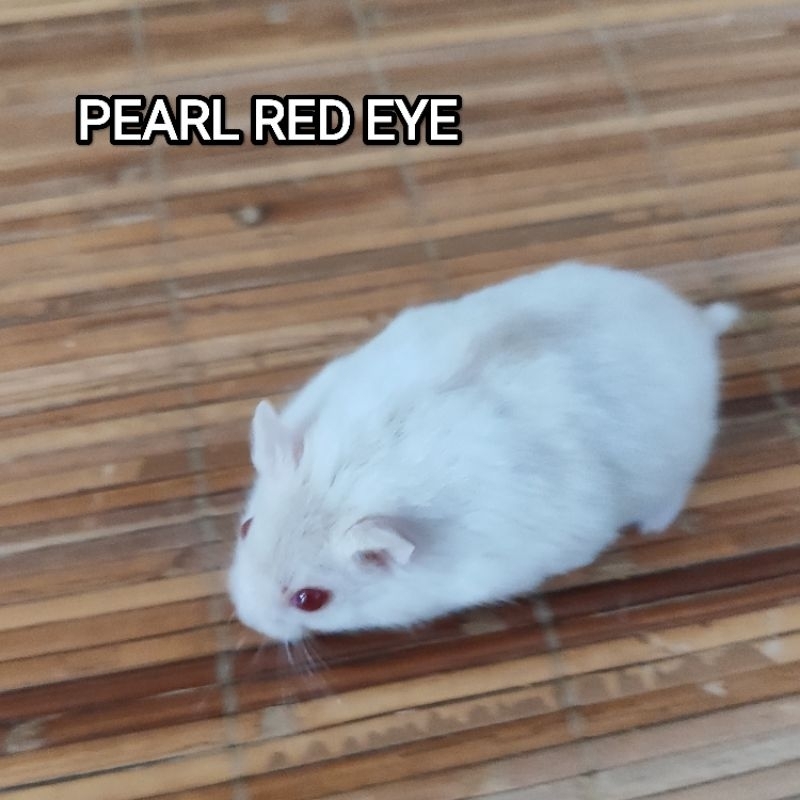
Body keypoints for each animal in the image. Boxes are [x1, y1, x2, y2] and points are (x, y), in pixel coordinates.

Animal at [228, 262, 739, 642]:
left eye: (310, 599)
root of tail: (697, 326)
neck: (348, 482)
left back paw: (653, 525)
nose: (247, 617)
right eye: (246, 528)